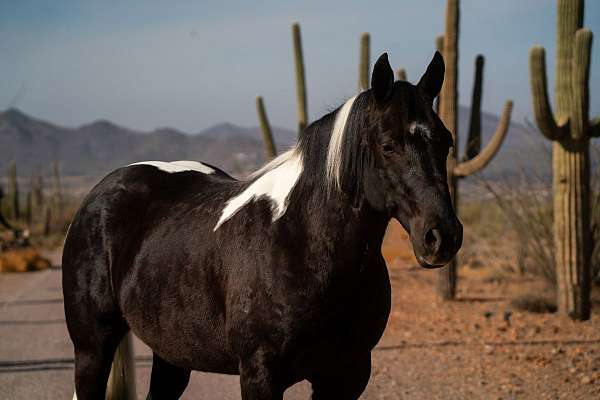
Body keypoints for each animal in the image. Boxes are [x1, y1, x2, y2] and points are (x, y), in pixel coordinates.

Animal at [62, 52, 464, 400]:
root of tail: (101, 192)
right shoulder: (260, 375)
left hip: (171, 351)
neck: (304, 242)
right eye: (388, 146)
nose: (441, 236)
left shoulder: (346, 374)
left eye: (446, 141)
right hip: (92, 348)